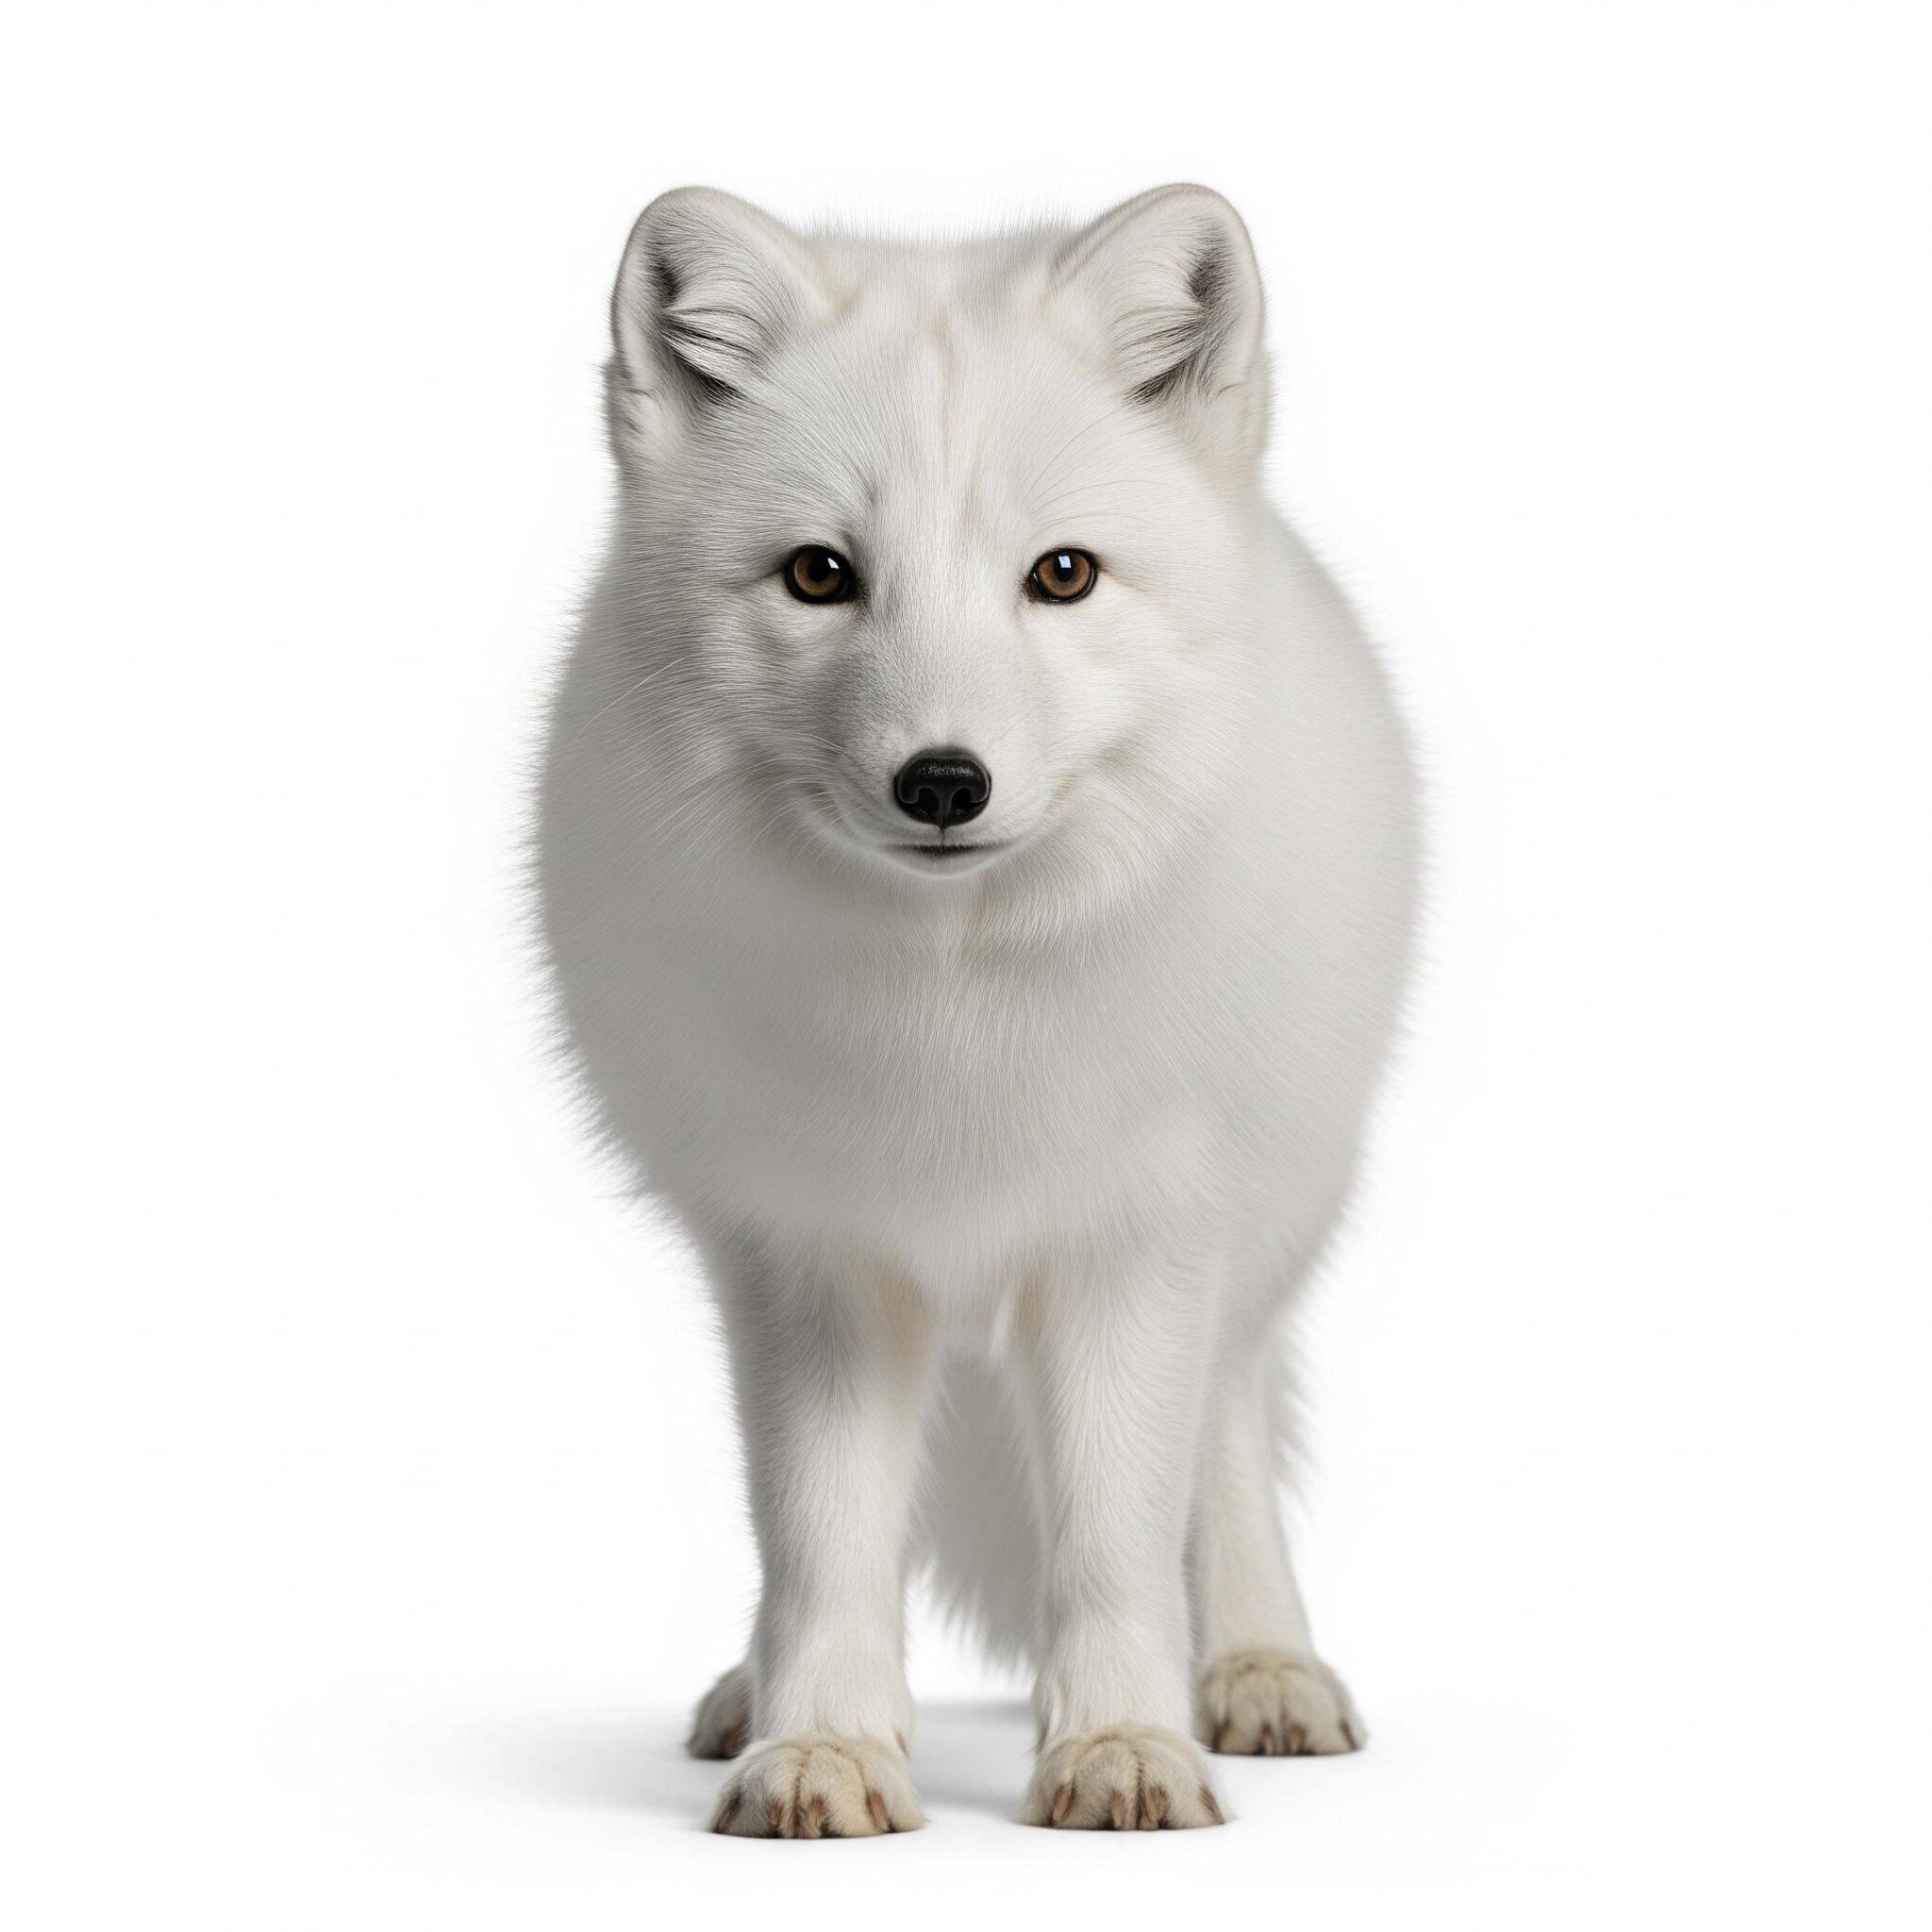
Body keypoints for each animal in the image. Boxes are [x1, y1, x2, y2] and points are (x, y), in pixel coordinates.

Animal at [536, 183, 1419, 1835]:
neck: (952, 1018)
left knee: (1229, 1432)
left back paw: (1260, 1672)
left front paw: (1123, 1745)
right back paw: (749, 1697)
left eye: (1062, 575)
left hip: (1264, 1220)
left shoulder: (1139, 1235)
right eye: (820, 574)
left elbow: (1118, 1534)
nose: (941, 783)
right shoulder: (806, 1259)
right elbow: (819, 1537)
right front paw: (820, 1746)